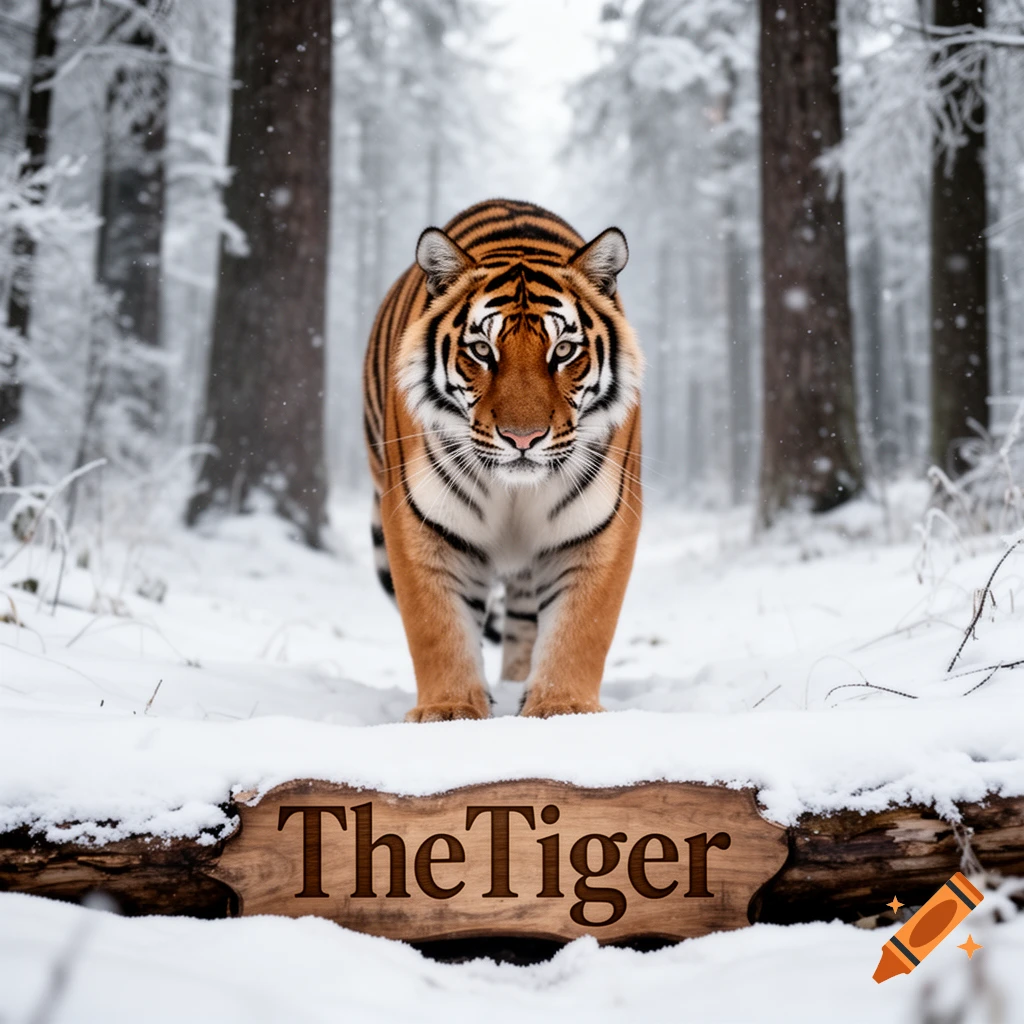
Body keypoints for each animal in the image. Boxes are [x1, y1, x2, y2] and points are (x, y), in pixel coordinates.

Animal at [363, 199, 643, 722]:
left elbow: (583, 624)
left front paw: (562, 707)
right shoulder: (421, 518)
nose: (522, 438)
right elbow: (436, 624)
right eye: (481, 350)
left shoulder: (601, 521)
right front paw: (449, 709)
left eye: (564, 350)